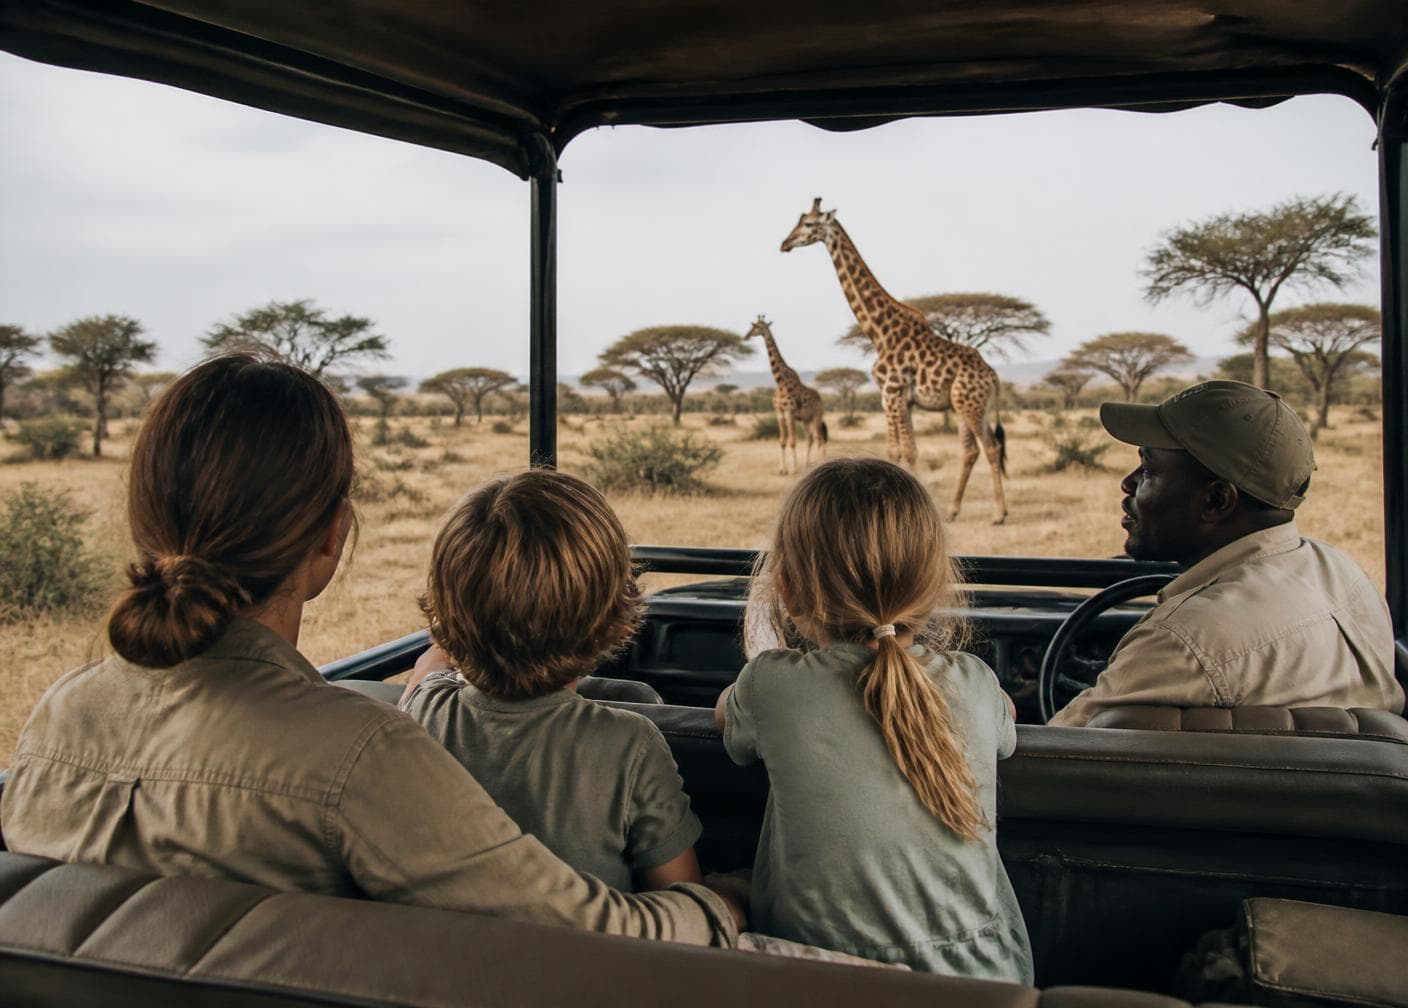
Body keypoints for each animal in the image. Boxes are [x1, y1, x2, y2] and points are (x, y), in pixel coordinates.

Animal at [746, 315, 828, 474]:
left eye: (758, 327)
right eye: (753, 326)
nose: (746, 336)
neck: (780, 382)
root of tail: (821, 399)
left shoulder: (789, 412)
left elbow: (792, 442)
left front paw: (793, 469)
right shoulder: (779, 412)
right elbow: (782, 441)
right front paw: (782, 469)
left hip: (816, 416)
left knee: (819, 438)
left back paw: (819, 463)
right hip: (806, 419)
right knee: (810, 439)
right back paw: (808, 465)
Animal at [780, 198, 1008, 523]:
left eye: (809, 224)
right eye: (799, 221)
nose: (784, 243)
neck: (879, 331)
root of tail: (993, 377)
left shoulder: (892, 393)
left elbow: (902, 452)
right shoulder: (900, 398)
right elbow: (902, 450)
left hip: (971, 406)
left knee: (990, 447)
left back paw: (999, 513)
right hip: (966, 406)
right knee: (971, 451)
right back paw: (953, 510)